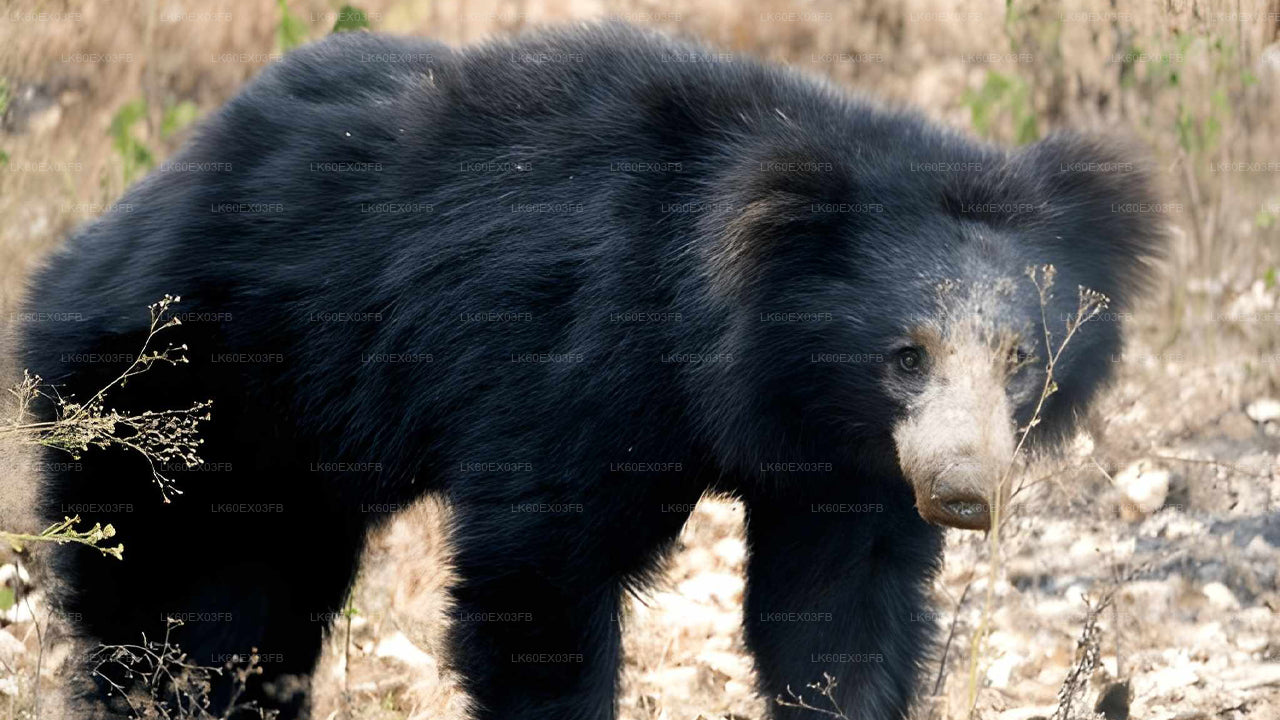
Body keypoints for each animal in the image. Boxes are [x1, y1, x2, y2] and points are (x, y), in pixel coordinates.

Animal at [18, 22, 1164, 720]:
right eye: (905, 356)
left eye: (1019, 358)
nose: (963, 492)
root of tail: (83, 255)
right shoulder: (573, 361)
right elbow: (538, 579)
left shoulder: (846, 463)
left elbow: (840, 612)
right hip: (176, 403)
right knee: (174, 612)